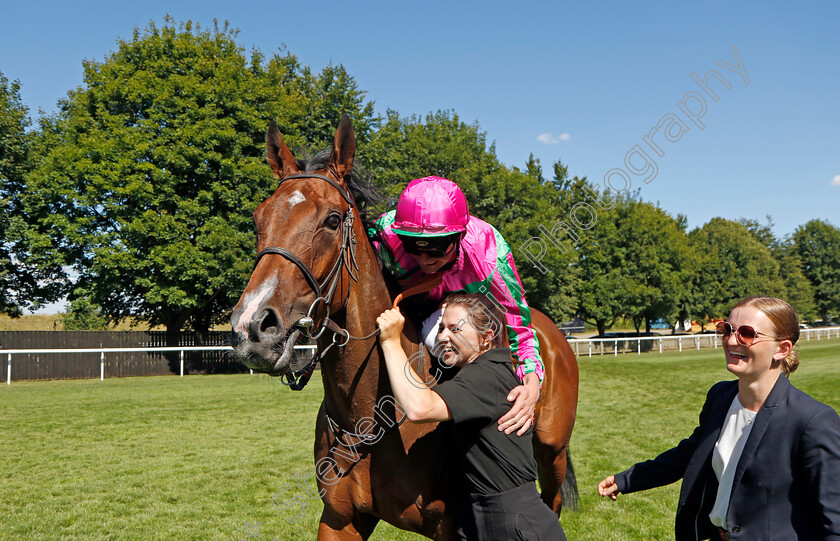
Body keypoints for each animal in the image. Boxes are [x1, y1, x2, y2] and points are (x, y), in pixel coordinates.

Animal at [230, 116, 576, 536]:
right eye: (258, 219)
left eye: (332, 220)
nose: (253, 326)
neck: (367, 416)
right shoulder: (340, 518)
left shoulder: (449, 525)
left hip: (552, 450)